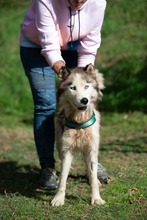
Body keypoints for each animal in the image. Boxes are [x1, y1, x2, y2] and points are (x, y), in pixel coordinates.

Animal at [51, 63, 105, 206]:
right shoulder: (66, 150)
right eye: (72, 88)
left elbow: (92, 175)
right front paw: (58, 198)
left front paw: (96, 198)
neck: (79, 122)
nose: (84, 100)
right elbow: (63, 178)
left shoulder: (91, 150)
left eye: (86, 86)